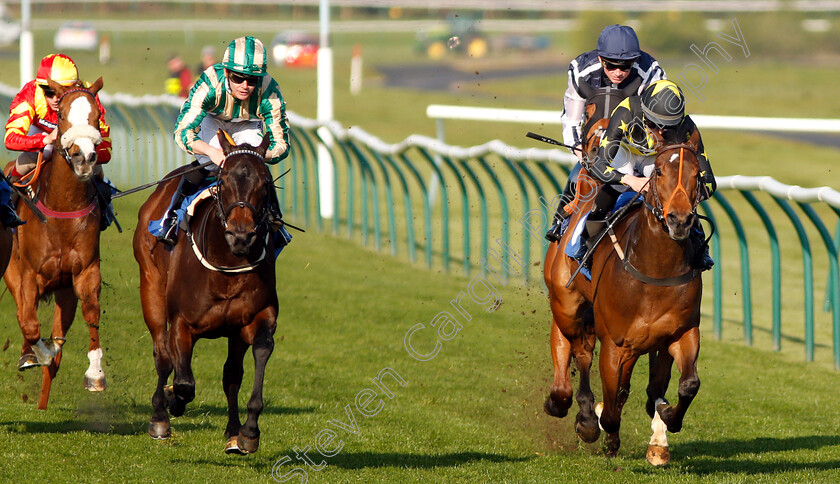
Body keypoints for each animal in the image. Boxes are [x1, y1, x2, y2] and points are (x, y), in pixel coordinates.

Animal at [2, 77, 108, 410]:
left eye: (96, 117)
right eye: (61, 116)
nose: (84, 158)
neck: (62, 206)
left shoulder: (84, 272)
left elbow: (91, 313)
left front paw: (95, 374)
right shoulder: (27, 274)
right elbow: (28, 321)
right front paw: (39, 354)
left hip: (64, 292)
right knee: (25, 315)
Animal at [135, 130, 278, 454]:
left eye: (265, 183)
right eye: (223, 180)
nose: (241, 236)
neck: (227, 265)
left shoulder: (254, 319)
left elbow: (257, 355)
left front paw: (248, 432)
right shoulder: (181, 323)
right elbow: (184, 383)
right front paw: (172, 399)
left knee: (231, 375)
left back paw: (233, 431)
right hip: (150, 286)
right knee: (162, 355)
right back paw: (160, 416)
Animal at [540, 141, 704, 466]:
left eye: (697, 174)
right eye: (659, 172)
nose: (679, 220)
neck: (656, 269)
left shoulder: (681, 333)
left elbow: (687, 385)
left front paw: (666, 417)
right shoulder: (615, 345)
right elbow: (611, 409)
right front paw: (602, 429)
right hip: (567, 306)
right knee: (578, 351)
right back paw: (575, 411)